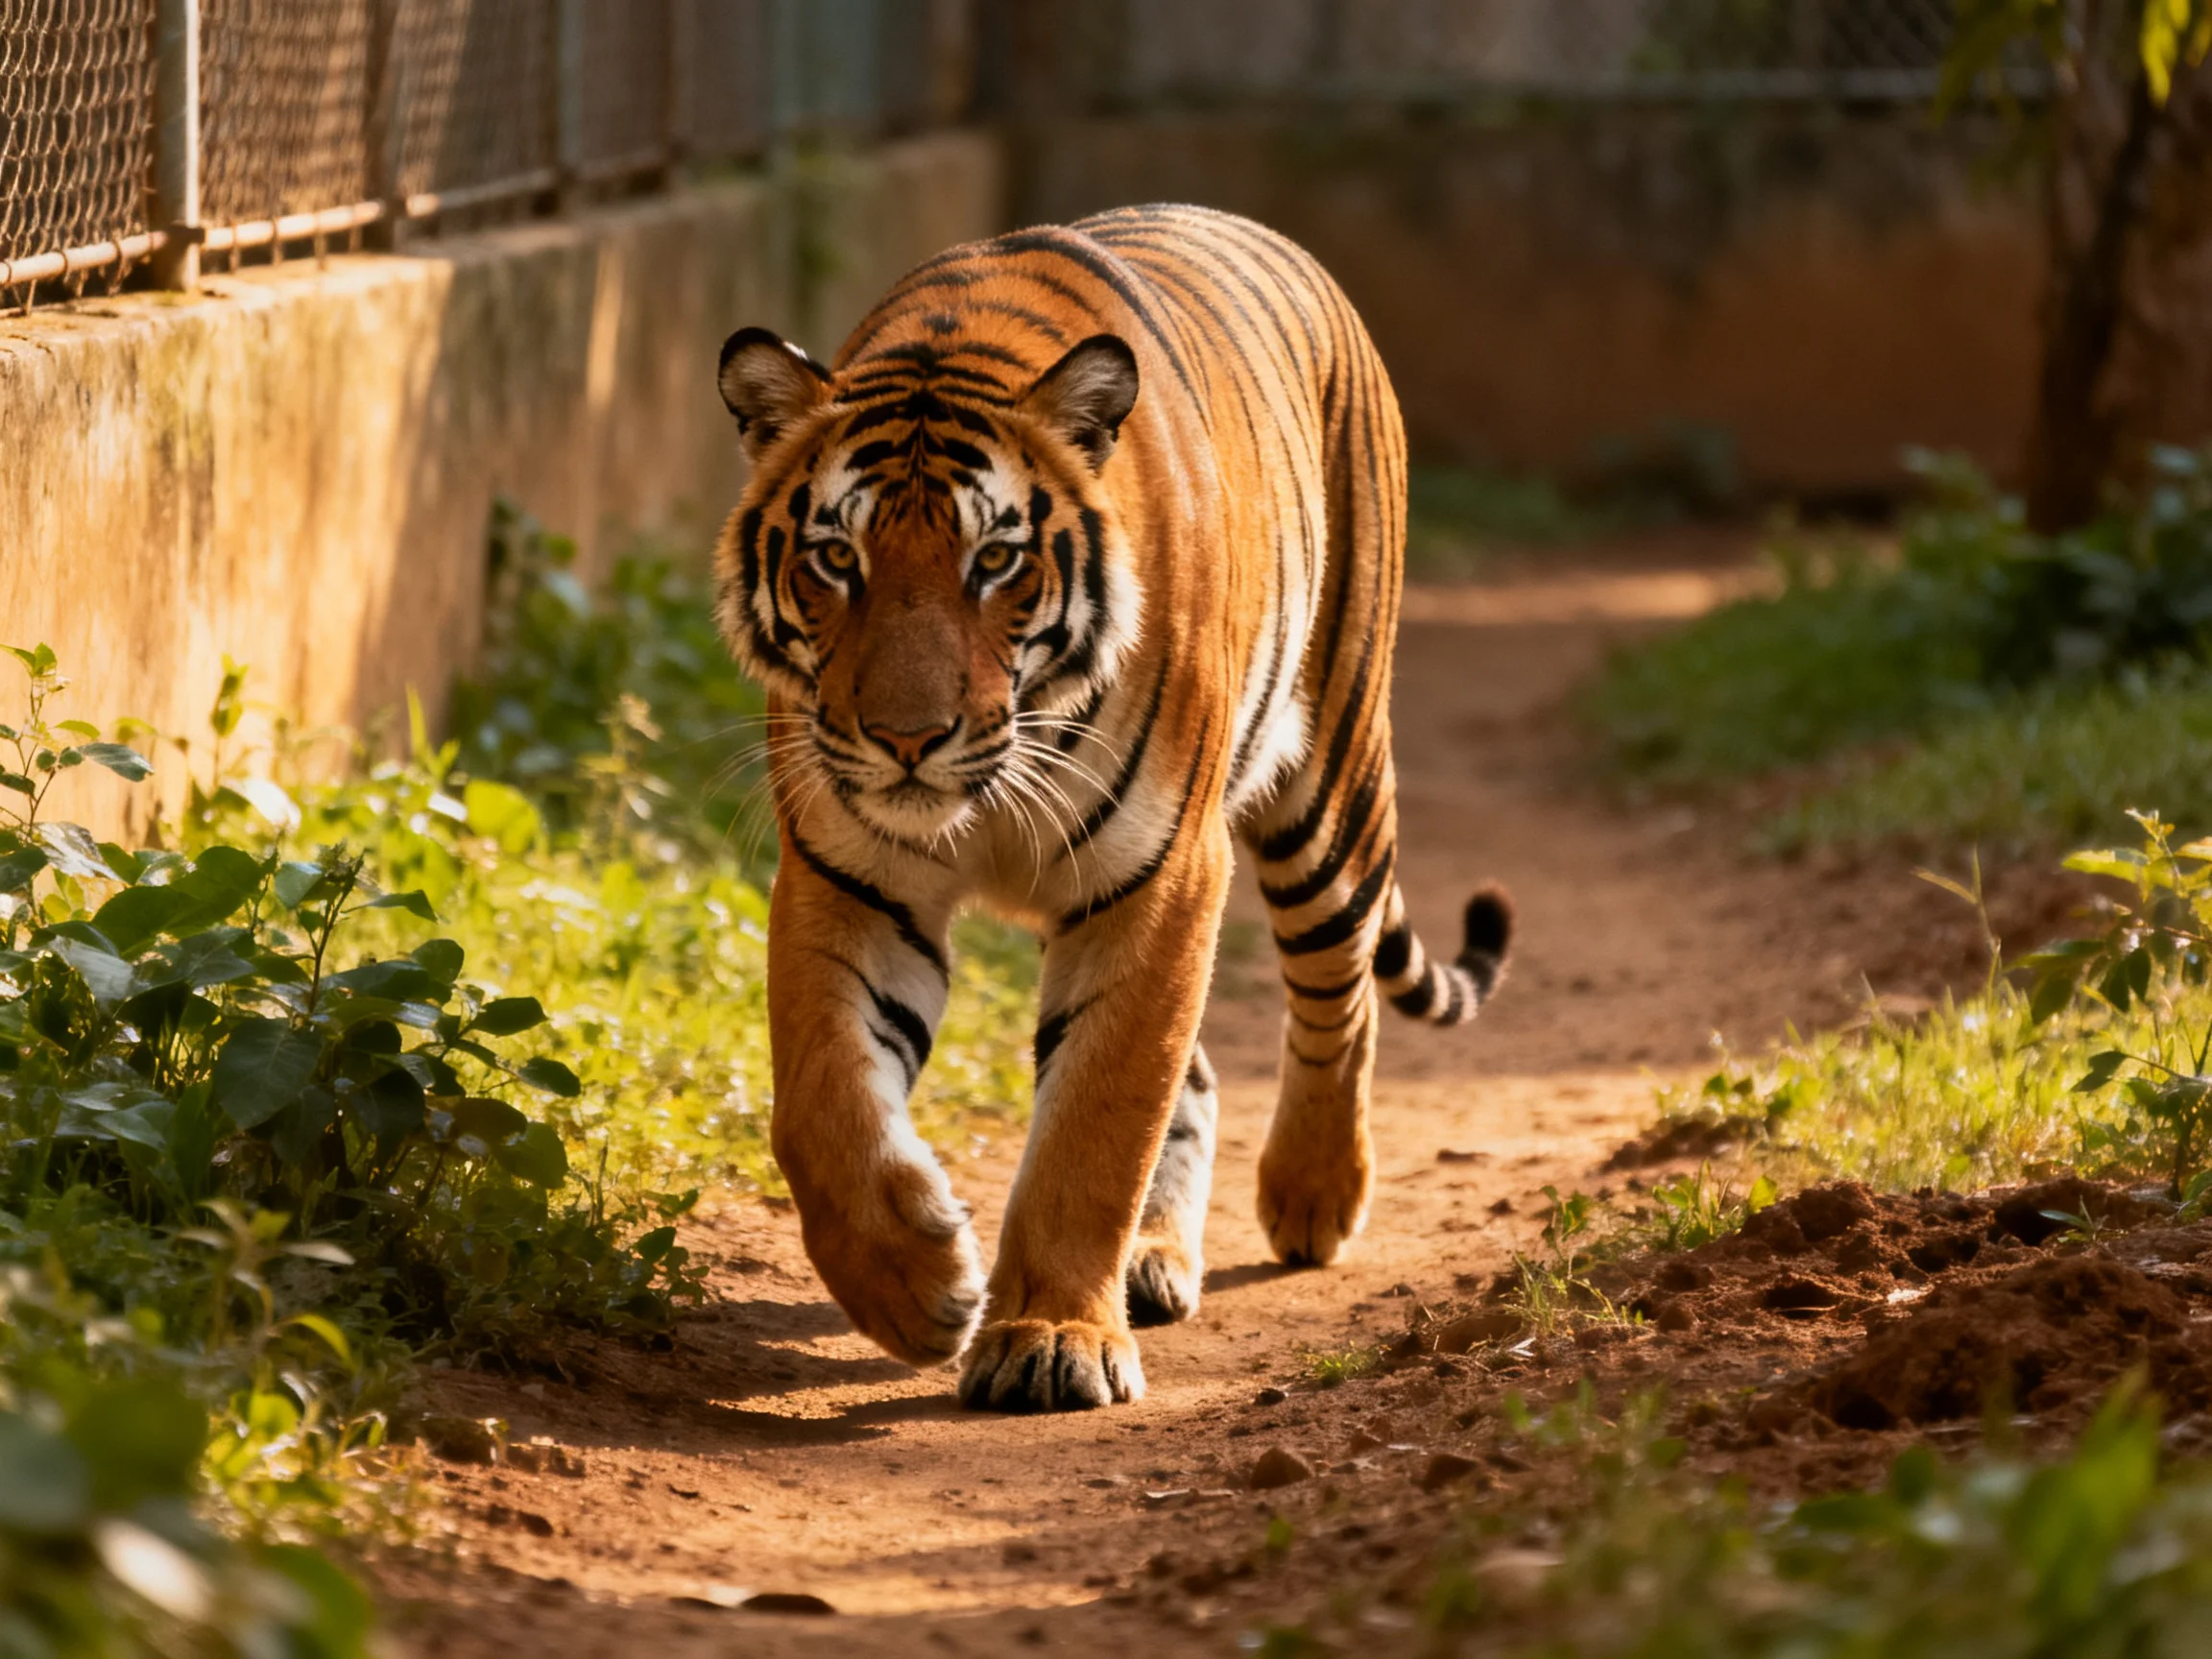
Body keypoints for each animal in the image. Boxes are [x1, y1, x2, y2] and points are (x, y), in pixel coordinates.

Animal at [712, 203, 1513, 1413]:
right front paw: (917, 1286)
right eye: (835, 559)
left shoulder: (1163, 873)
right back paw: (1152, 1257)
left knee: (1339, 997)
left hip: (1327, 792)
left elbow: (1097, 1119)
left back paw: (1313, 1195)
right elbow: (820, 1105)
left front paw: (1051, 1338)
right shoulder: (847, 871)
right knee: (1207, 1065)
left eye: (995, 560)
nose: (907, 739)